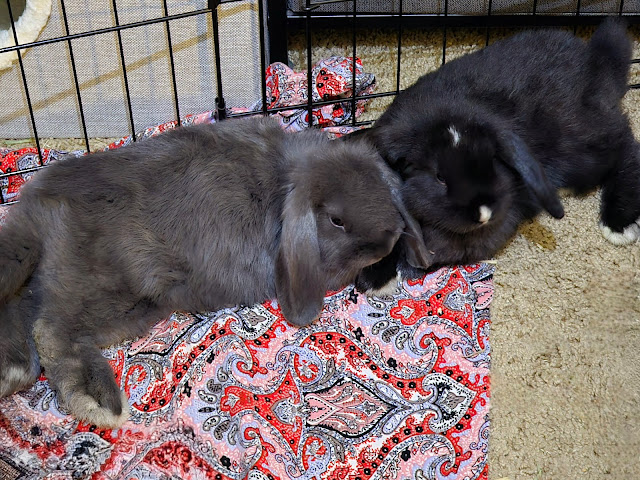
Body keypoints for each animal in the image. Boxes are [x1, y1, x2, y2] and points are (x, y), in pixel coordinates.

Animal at [2, 116, 430, 428]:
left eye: (386, 196)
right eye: (337, 220)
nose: (384, 242)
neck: (284, 188)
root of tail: (36, 211)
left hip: (131, 301)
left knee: (28, 311)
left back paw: (13, 368)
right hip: (105, 286)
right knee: (51, 330)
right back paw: (99, 402)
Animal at [356, 17, 640, 292]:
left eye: (491, 160)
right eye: (440, 177)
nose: (484, 213)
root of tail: (596, 61)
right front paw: (372, 279)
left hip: (581, 147)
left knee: (625, 145)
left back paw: (618, 223)